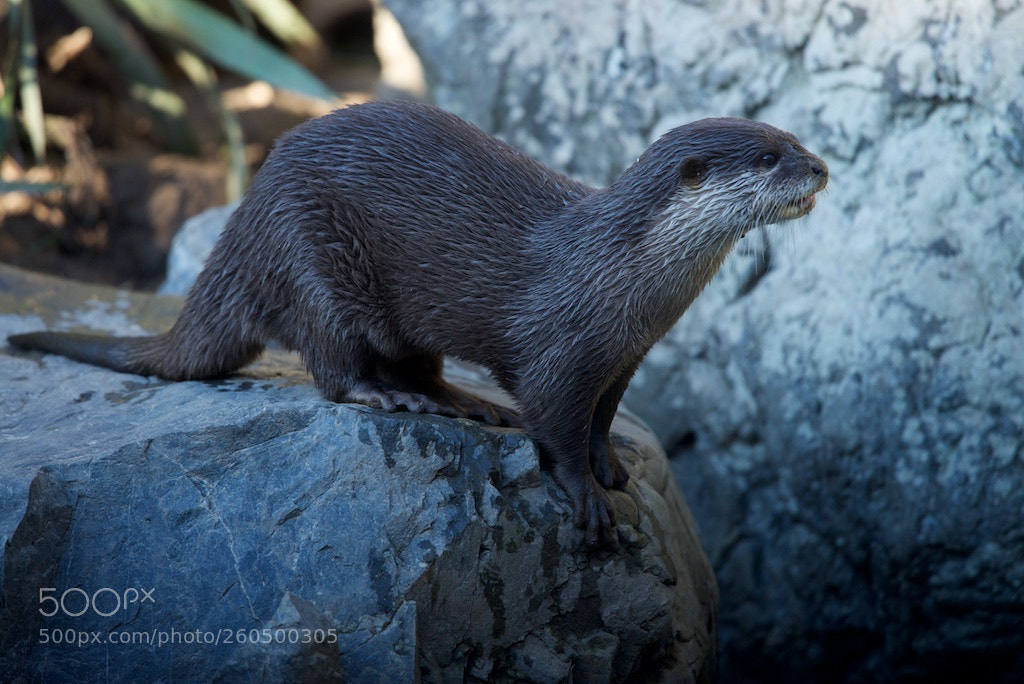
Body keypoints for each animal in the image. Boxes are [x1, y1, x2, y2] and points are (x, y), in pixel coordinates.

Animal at [9, 100, 828, 544]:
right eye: (767, 156)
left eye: (795, 139)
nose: (821, 168)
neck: (623, 273)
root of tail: (243, 221)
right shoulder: (561, 352)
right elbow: (556, 425)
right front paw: (587, 497)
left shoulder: (623, 358)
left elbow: (599, 420)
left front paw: (611, 464)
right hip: (313, 256)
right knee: (333, 369)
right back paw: (391, 397)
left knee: (417, 363)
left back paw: (464, 402)